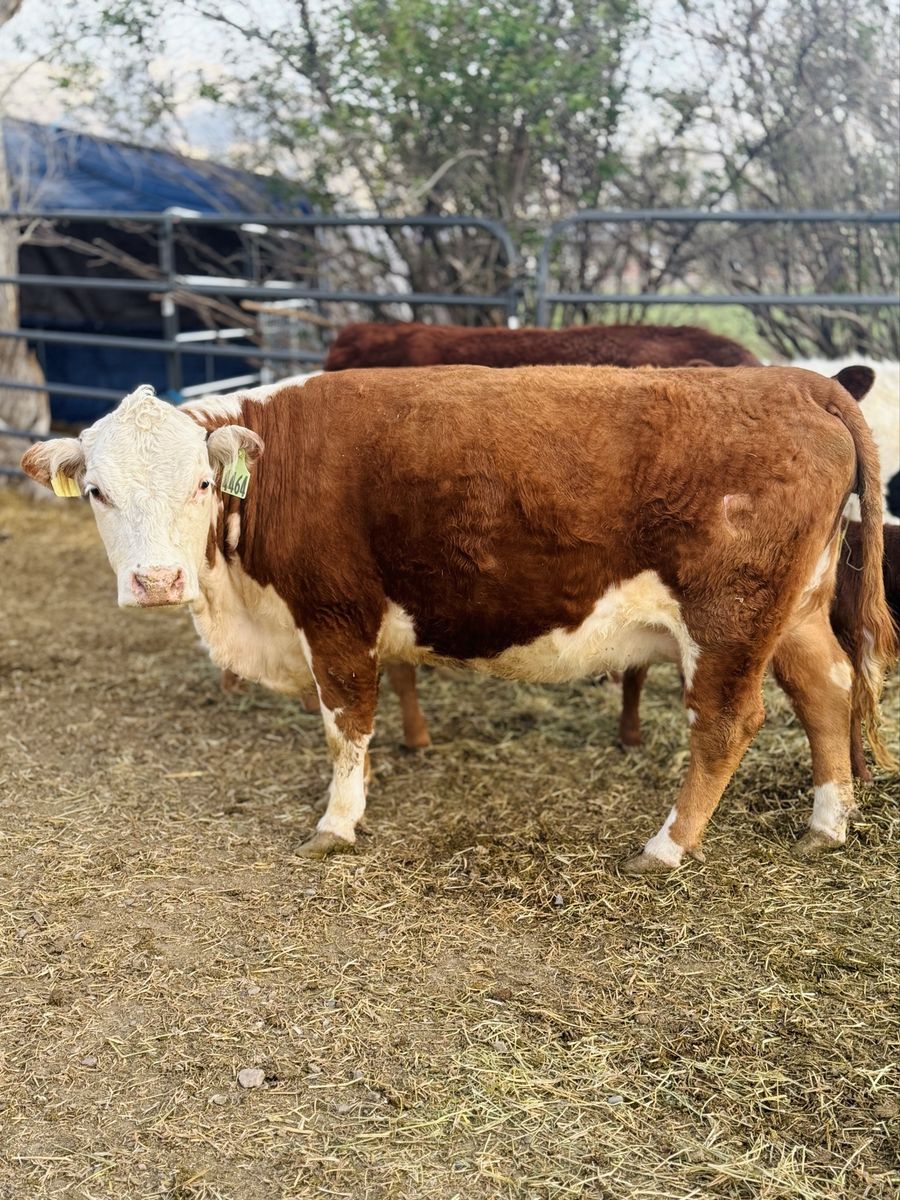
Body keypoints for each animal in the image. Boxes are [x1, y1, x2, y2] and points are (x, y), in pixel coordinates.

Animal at [22, 365, 895, 872]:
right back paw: (827, 822)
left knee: (726, 721)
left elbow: (346, 722)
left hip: (727, 621)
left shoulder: (336, 614)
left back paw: (667, 846)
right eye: (96, 490)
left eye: (201, 485)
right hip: (795, 611)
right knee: (827, 690)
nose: (156, 579)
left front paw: (338, 821)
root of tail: (797, 382)